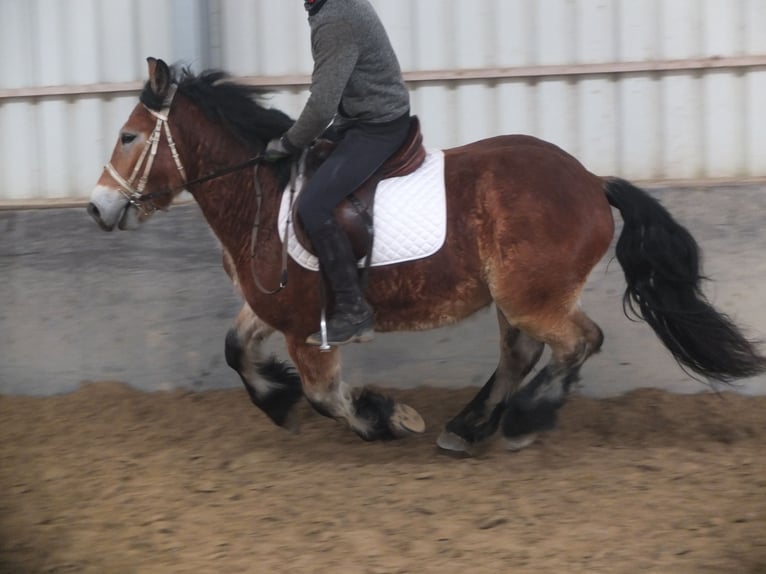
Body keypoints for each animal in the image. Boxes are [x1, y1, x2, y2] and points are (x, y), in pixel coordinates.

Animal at [87, 58, 764, 454]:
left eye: (128, 136)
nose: (96, 208)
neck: (264, 193)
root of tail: (593, 182)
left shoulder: (308, 330)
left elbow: (326, 396)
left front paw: (386, 418)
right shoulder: (272, 308)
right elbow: (235, 351)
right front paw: (277, 402)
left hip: (532, 296)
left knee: (577, 343)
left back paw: (522, 420)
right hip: (514, 297)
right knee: (521, 354)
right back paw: (469, 428)